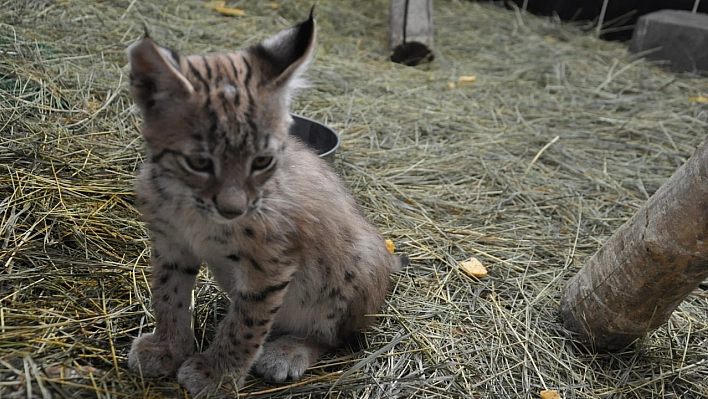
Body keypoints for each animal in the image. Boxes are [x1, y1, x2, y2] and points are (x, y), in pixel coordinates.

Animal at [124, 13, 406, 396]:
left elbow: (246, 324)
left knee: (337, 338)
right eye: (199, 162)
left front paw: (216, 374)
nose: (233, 209)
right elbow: (168, 297)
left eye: (261, 161)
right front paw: (167, 348)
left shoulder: (270, 265)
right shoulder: (171, 245)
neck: (190, 205)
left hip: (356, 264)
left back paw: (289, 351)